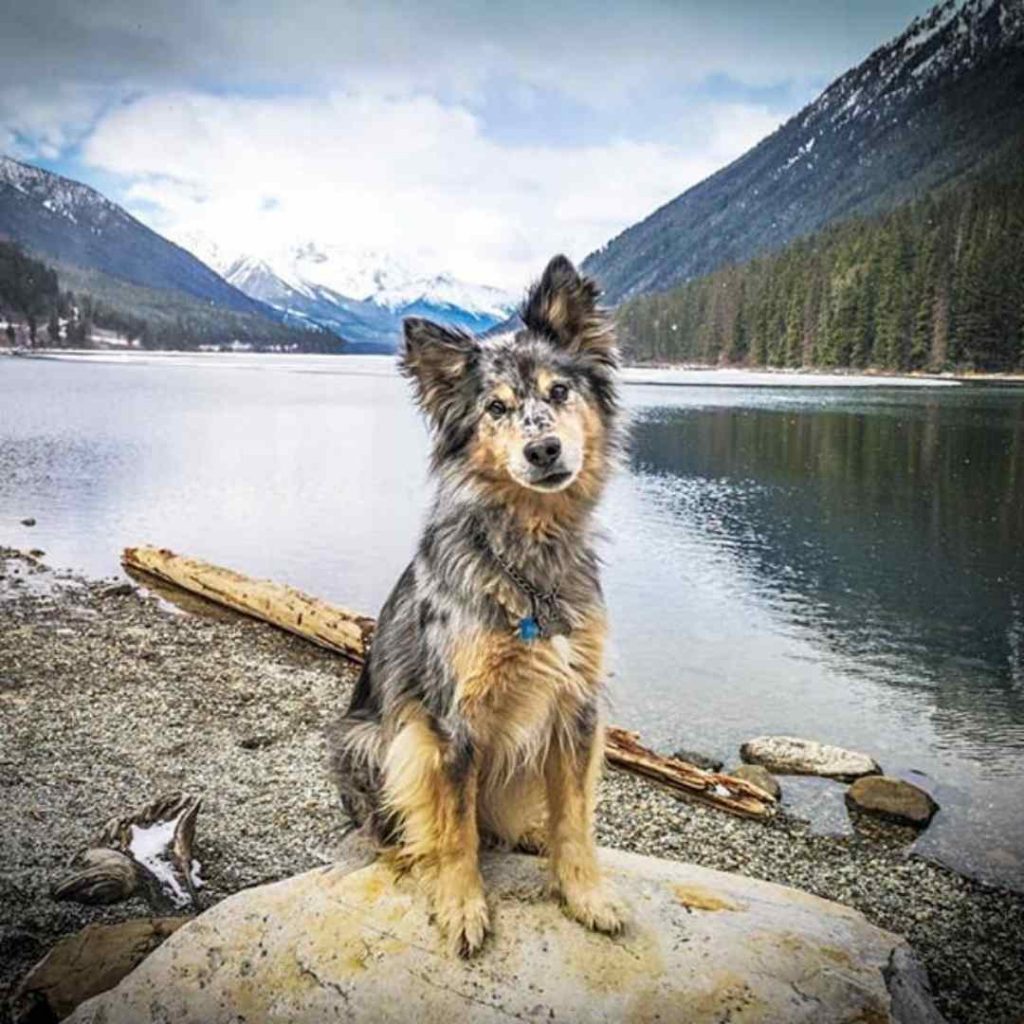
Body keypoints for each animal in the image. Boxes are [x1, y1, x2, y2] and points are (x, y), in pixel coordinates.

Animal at [333, 251, 622, 954]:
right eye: (496, 407)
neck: (528, 560)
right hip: (367, 741)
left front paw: (584, 892)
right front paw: (461, 904)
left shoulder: (577, 706)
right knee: (403, 825)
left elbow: (576, 816)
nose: (543, 449)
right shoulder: (447, 725)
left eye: (559, 392)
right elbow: (455, 827)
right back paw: (413, 855)